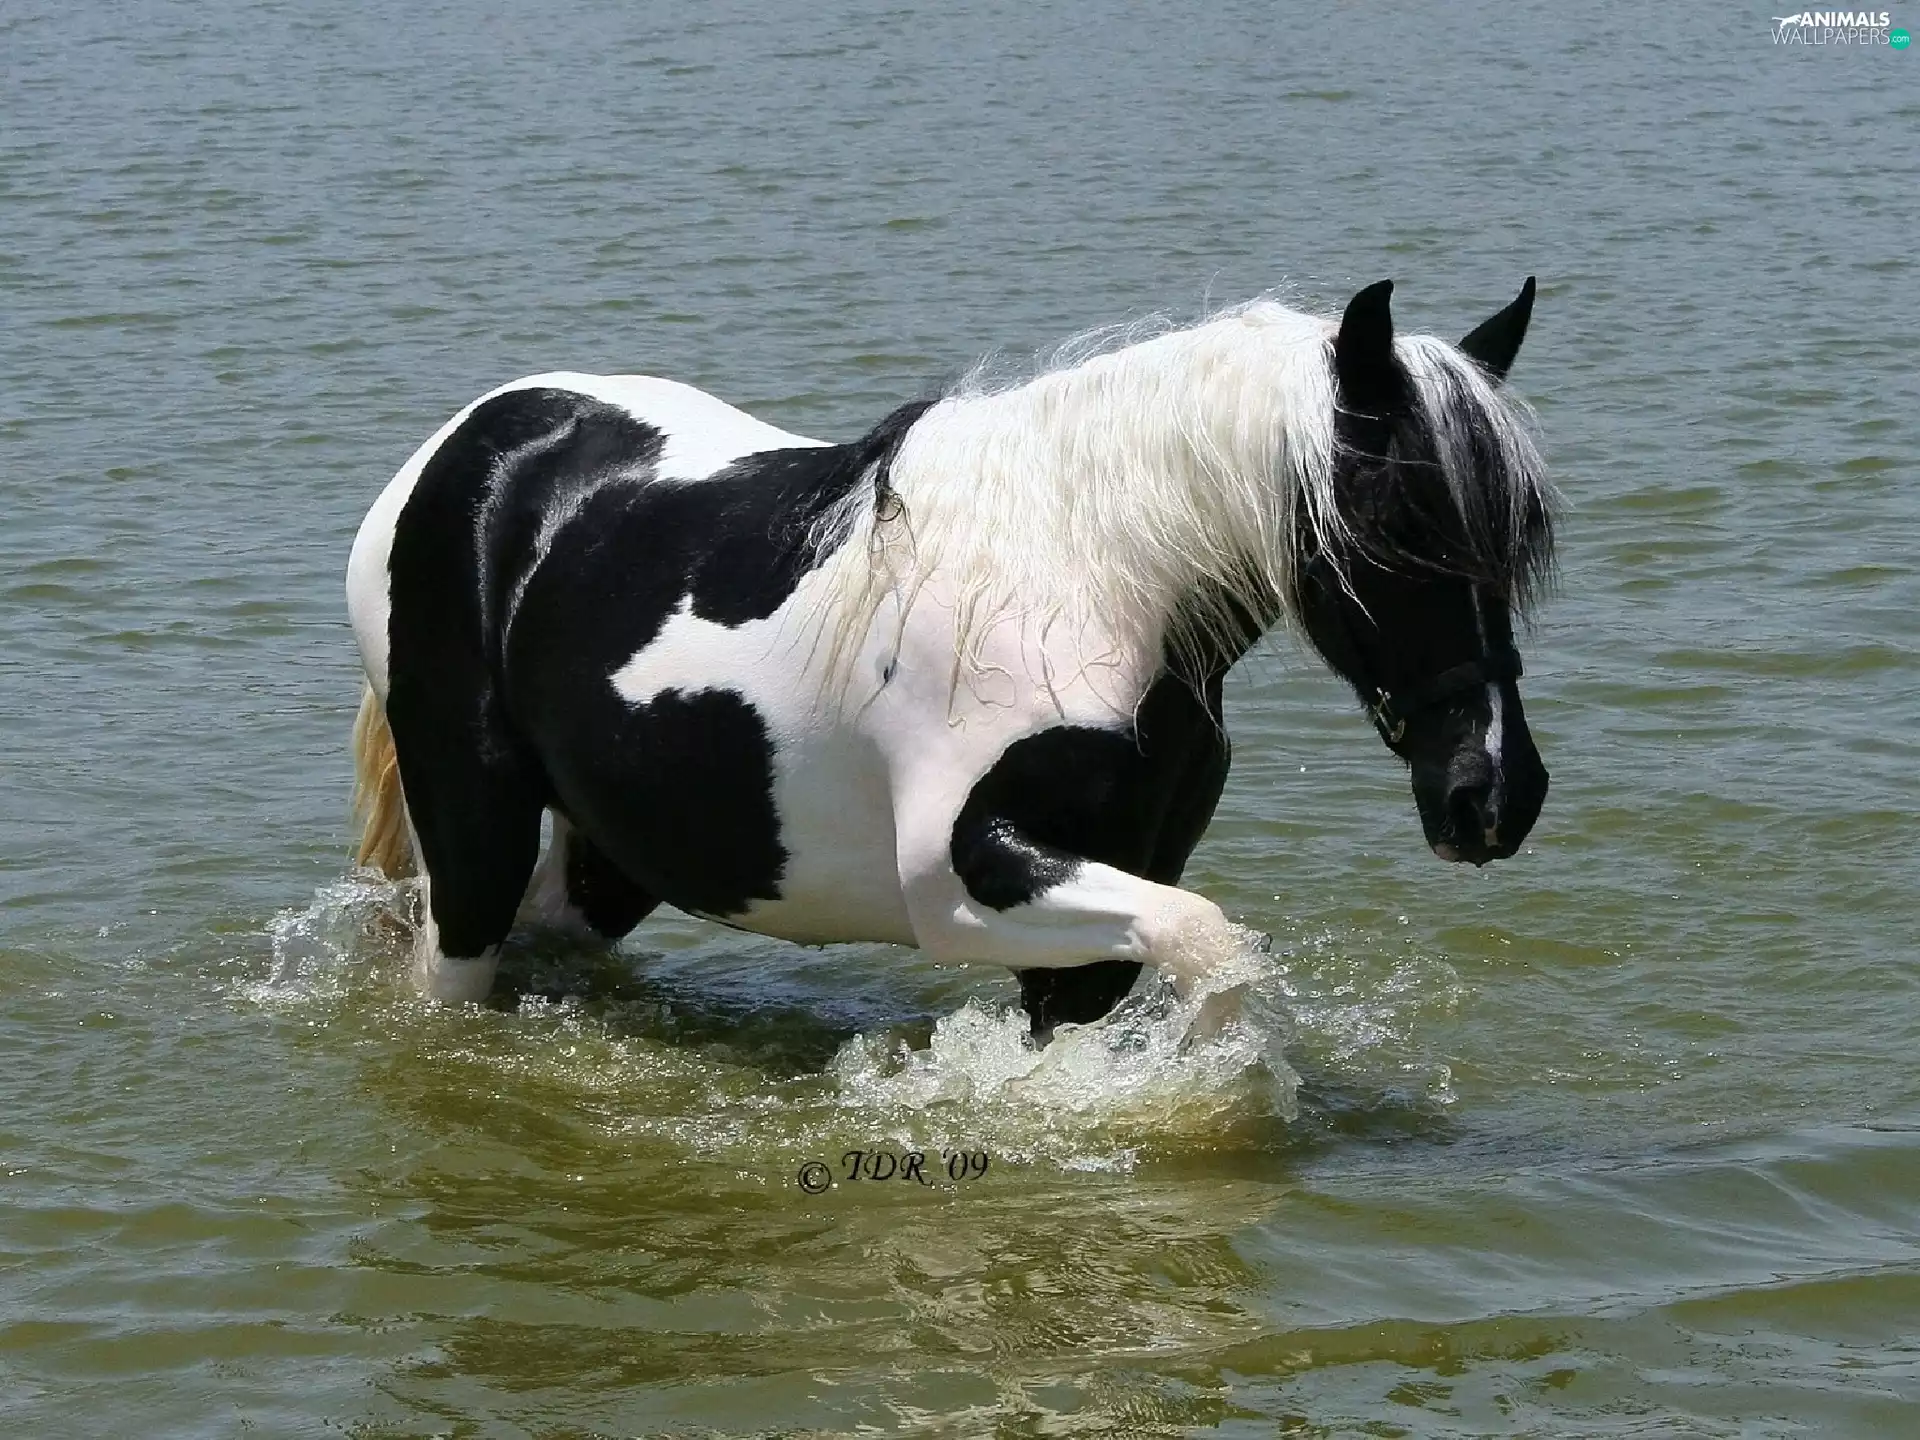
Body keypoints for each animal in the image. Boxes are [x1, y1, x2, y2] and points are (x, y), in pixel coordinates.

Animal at [345, 278, 1555, 1041]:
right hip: (476, 838)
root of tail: (466, 446)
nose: (1494, 796)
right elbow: (1212, 946)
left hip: (621, 847)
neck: (1084, 582)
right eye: (1395, 525)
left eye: (1520, 540)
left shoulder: (1105, 896)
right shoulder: (965, 881)